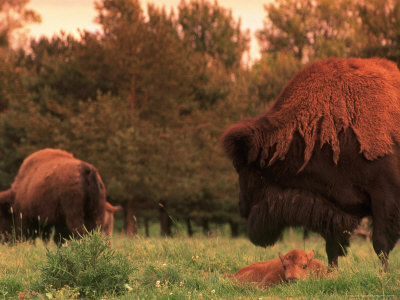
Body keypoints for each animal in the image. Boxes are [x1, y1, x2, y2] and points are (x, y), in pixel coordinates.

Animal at [222, 57, 400, 268]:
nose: (241, 206)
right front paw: (331, 272)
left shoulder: (384, 197)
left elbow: (380, 243)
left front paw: (384, 273)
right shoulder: (332, 206)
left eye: (239, 166)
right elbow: (332, 247)